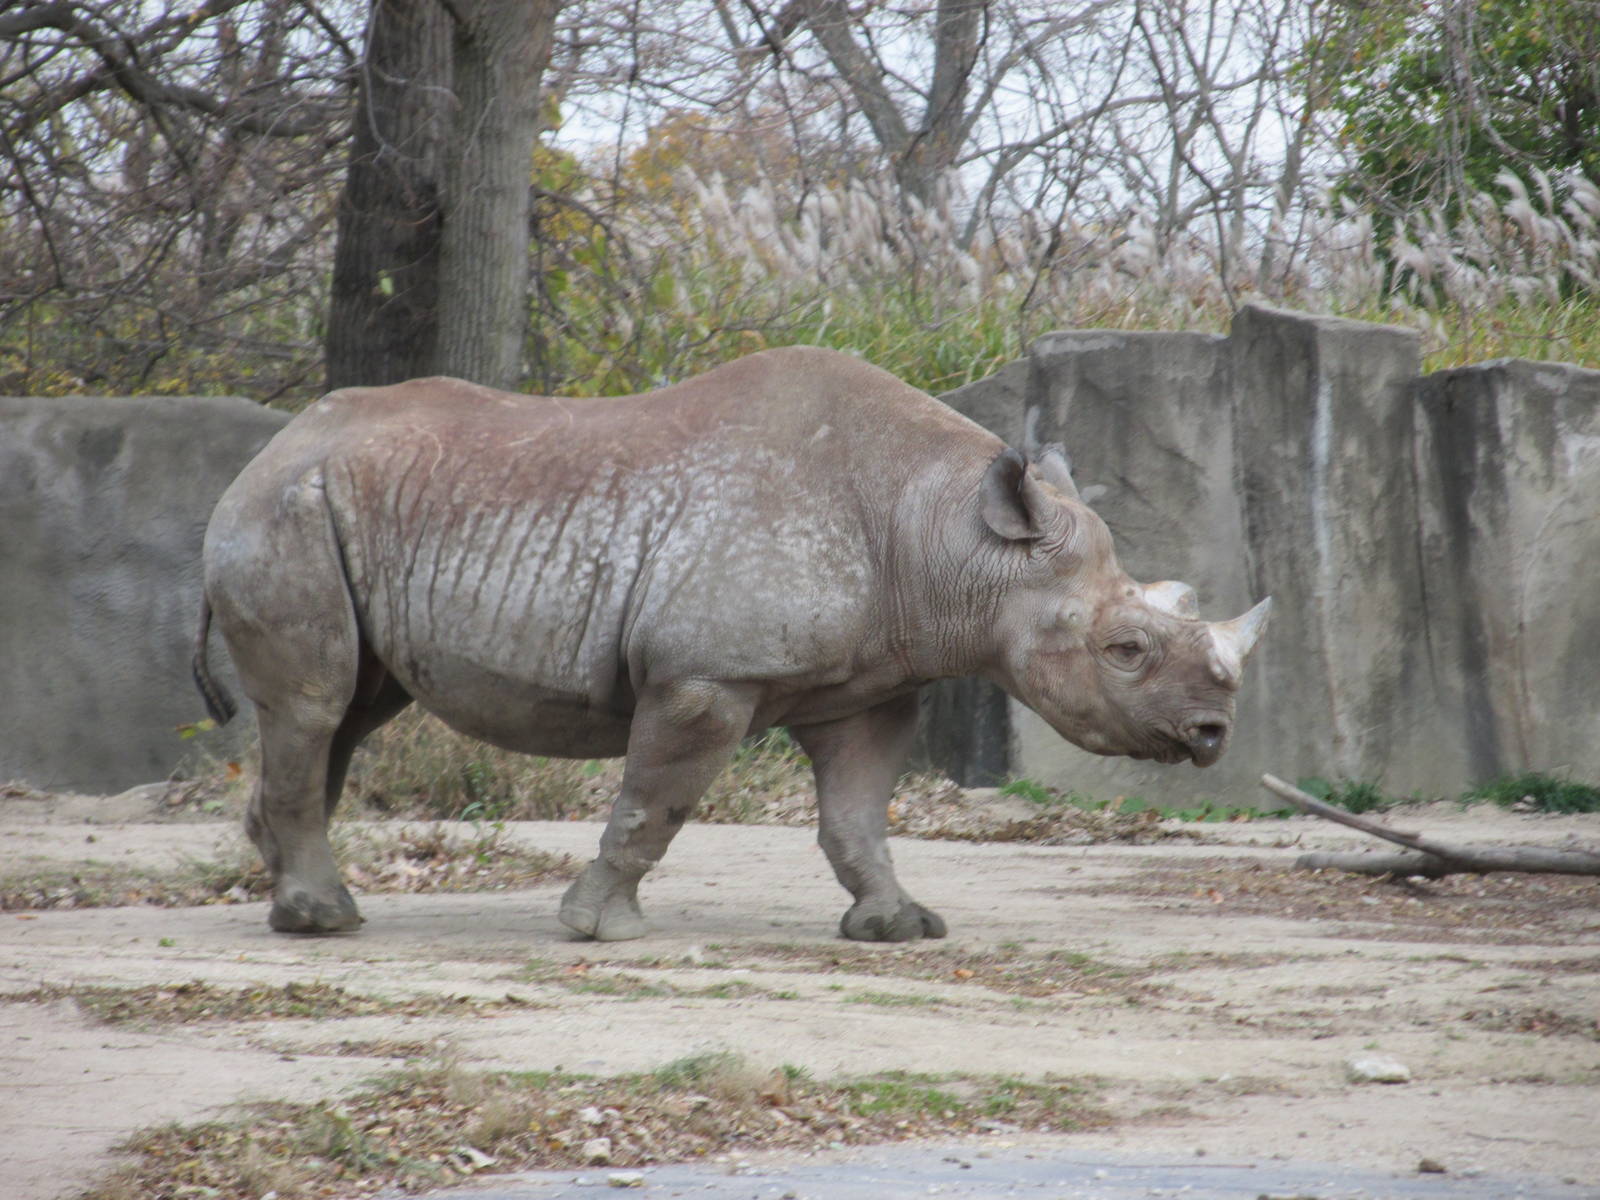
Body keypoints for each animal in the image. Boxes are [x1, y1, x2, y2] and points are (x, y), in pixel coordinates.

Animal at [194, 346, 1269, 942]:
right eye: (1126, 649)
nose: (1215, 733)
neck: (951, 541)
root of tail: (266, 453)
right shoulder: (707, 674)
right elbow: (655, 801)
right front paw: (602, 929)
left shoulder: (874, 682)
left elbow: (858, 815)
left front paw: (898, 928)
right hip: (287, 514)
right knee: (316, 703)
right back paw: (323, 919)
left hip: (327, 507)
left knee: (351, 707)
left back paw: (291, 895)